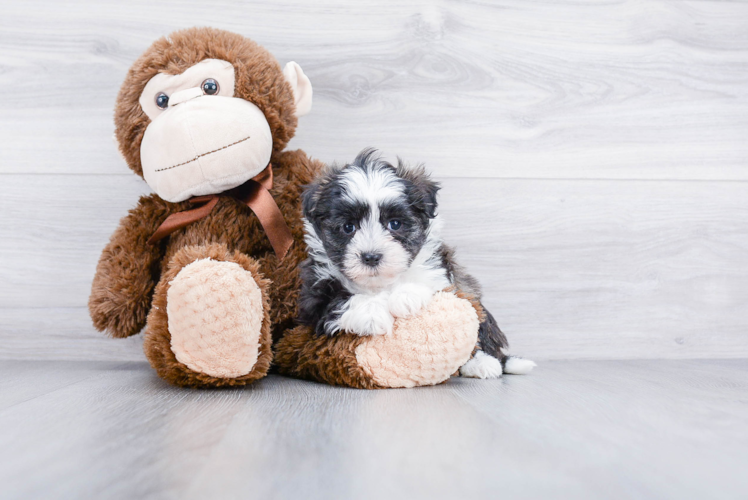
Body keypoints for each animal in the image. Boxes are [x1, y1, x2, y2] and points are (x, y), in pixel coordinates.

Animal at [296, 148, 536, 378]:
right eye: (348, 227)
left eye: (395, 224)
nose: (371, 256)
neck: (379, 285)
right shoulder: (313, 297)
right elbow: (339, 300)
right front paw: (371, 313)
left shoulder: (441, 270)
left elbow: (427, 281)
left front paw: (406, 296)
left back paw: (483, 363)